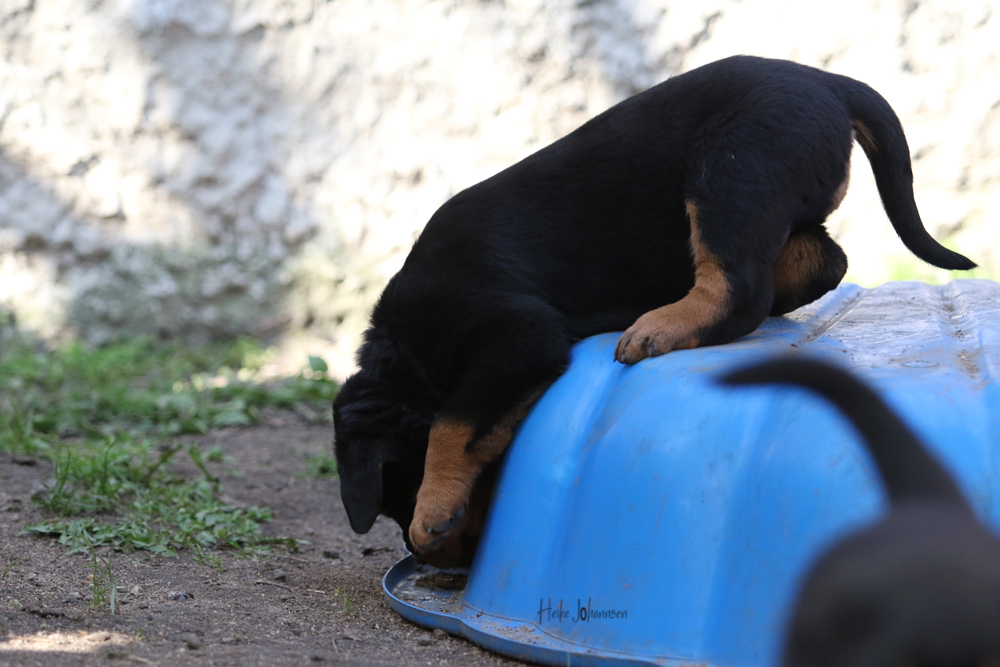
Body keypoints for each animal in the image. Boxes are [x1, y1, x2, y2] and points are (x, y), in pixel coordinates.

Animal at [333, 55, 976, 567]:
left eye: (402, 481)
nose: (427, 560)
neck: (408, 347)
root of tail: (827, 80)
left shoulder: (517, 336)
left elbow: (452, 422)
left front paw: (432, 510)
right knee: (823, 259)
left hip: (731, 164)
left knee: (740, 288)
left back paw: (658, 327)